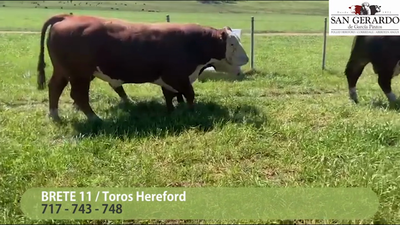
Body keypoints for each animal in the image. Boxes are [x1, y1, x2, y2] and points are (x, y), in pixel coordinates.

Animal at [38, 13, 250, 123]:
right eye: (232, 43)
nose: (246, 59)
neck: (194, 43)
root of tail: (67, 18)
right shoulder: (178, 76)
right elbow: (188, 94)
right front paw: (192, 112)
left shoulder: (169, 79)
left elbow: (171, 96)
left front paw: (173, 110)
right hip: (80, 74)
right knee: (79, 95)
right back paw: (94, 118)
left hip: (63, 71)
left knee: (55, 87)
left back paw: (55, 115)